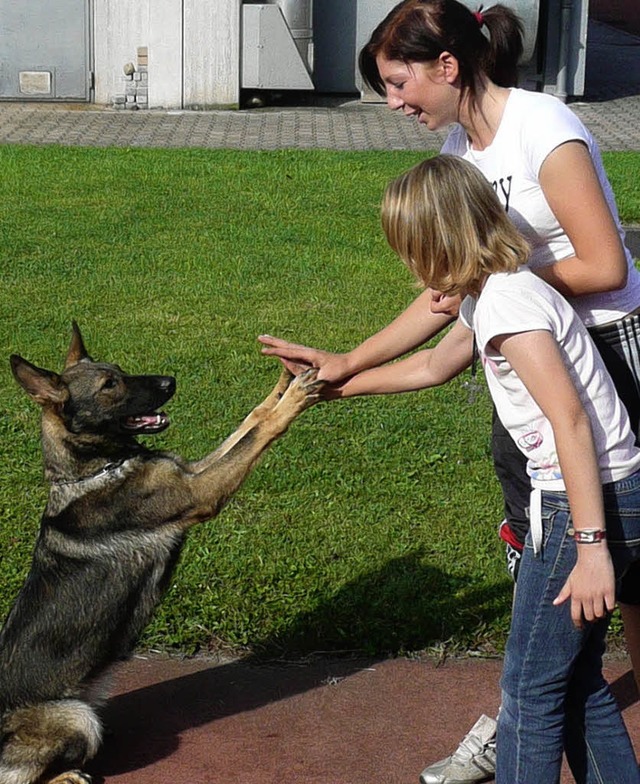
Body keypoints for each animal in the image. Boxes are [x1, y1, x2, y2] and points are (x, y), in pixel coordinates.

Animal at [0, 322, 320, 780]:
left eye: (119, 369)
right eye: (110, 385)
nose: (171, 382)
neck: (95, 469)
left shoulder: (190, 473)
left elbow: (251, 421)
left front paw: (283, 381)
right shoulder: (201, 492)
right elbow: (260, 433)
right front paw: (294, 398)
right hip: (78, 716)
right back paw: (68, 775)